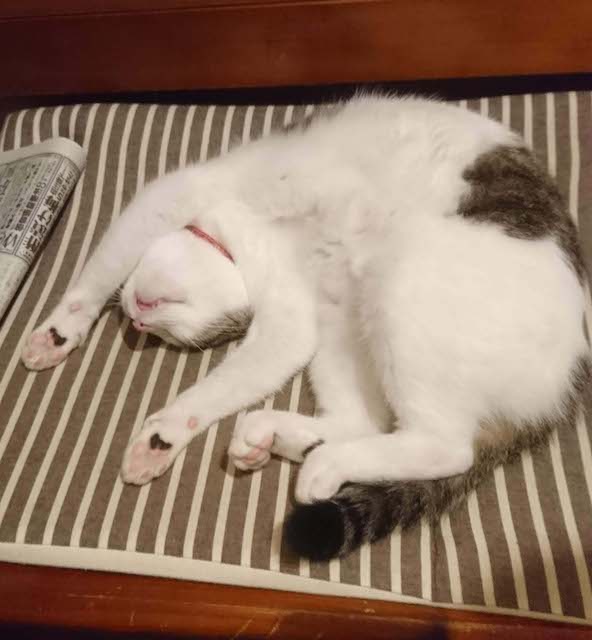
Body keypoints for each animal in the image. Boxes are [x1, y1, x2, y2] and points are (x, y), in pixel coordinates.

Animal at [21, 95, 589, 560]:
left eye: (168, 328)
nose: (139, 318)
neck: (256, 240)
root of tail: (565, 387)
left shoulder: (174, 194)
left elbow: (102, 272)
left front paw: (63, 338)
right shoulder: (293, 320)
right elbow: (248, 370)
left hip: (404, 281)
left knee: (445, 446)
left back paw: (323, 464)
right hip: (343, 325)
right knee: (366, 421)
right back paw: (275, 437)